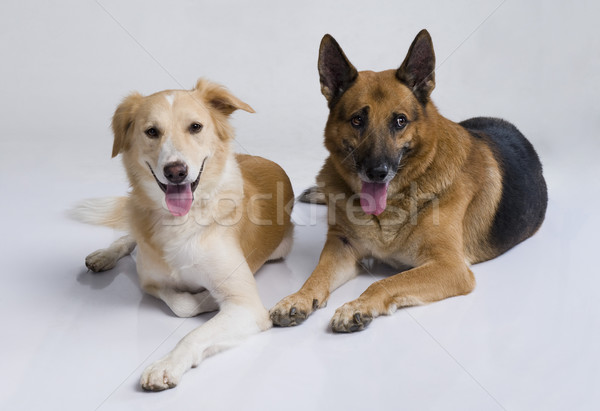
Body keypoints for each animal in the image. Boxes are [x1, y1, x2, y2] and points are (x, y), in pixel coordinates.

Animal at [74, 79, 294, 392]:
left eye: (195, 127)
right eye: (152, 131)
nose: (176, 171)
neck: (181, 220)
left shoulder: (246, 305)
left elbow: (194, 331)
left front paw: (166, 364)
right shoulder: (149, 281)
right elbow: (181, 304)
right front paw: (203, 298)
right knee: (129, 234)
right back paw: (105, 255)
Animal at [270, 29, 548, 334]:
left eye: (400, 121)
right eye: (357, 120)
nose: (377, 172)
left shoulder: (450, 267)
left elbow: (386, 282)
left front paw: (358, 305)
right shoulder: (342, 246)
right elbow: (316, 275)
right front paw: (298, 298)